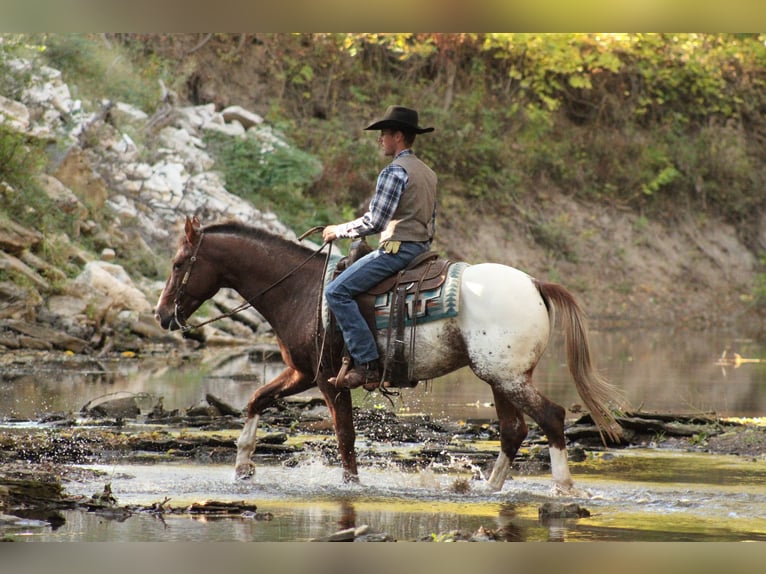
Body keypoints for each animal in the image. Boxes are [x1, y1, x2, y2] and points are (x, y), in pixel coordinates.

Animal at [154, 216, 624, 494]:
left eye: (178, 264)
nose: (160, 315)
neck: (301, 291)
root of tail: (534, 284)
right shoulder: (301, 373)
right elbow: (255, 400)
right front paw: (243, 466)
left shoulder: (327, 379)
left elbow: (345, 436)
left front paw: (350, 485)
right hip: (500, 376)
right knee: (514, 431)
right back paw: (489, 489)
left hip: (506, 377)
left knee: (552, 418)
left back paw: (564, 489)